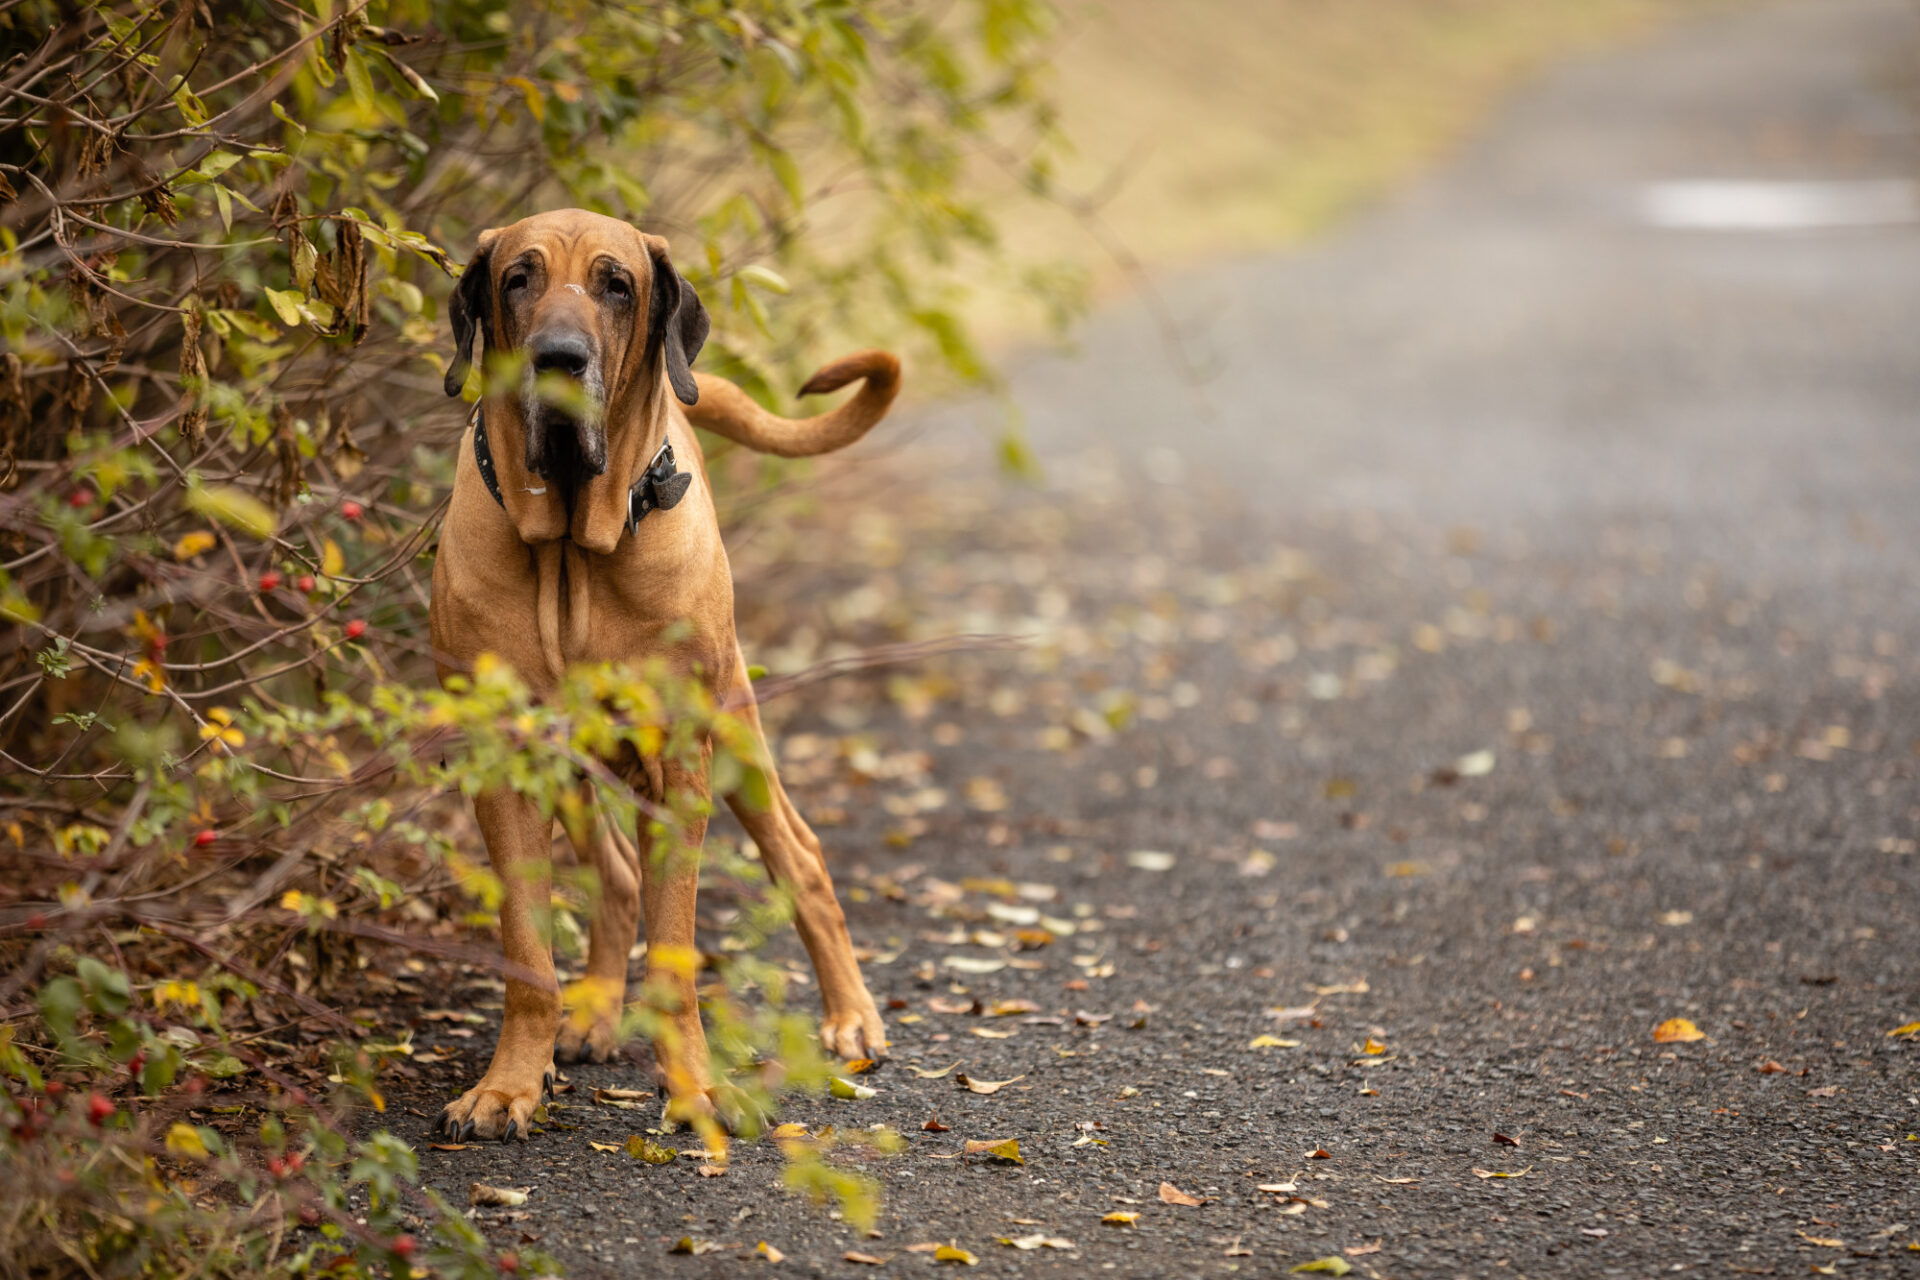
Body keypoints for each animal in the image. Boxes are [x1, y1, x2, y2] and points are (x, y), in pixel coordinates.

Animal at [432, 210, 894, 1143]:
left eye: (617, 285)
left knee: (801, 855)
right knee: (613, 874)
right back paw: (592, 1016)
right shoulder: (506, 766)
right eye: (517, 279)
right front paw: (509, 1086)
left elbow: (676, 948)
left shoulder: (681, 761)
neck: (571, 554)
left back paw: (851, 1017)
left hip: (737, 731)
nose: (560, 358)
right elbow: (526, 948)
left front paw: (698, 1091)